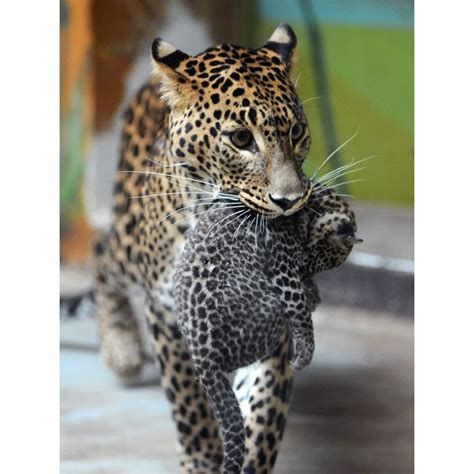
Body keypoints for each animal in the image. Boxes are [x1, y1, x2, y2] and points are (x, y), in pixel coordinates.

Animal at [93, 24, 314, 472]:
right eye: (242, 138)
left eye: (296, 132)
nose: (291, 200)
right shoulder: (166, 310)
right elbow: (189, 402)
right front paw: (202, 457)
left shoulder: (275, 313)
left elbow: (263, 410)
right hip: (128, 243)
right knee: (101, 254)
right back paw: (121, 349)